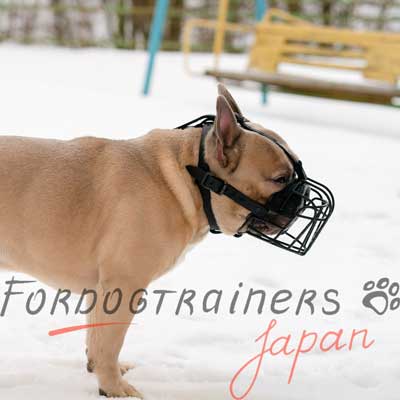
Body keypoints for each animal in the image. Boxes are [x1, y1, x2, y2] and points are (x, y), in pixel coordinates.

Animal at [0, 84, 296, 396]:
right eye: (280, 179)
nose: (301, 202)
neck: (188, 177)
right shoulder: (123, 286)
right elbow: (109, 343)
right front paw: (114, 388)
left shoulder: (100, 289)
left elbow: (95, 338)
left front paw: (100, 372)